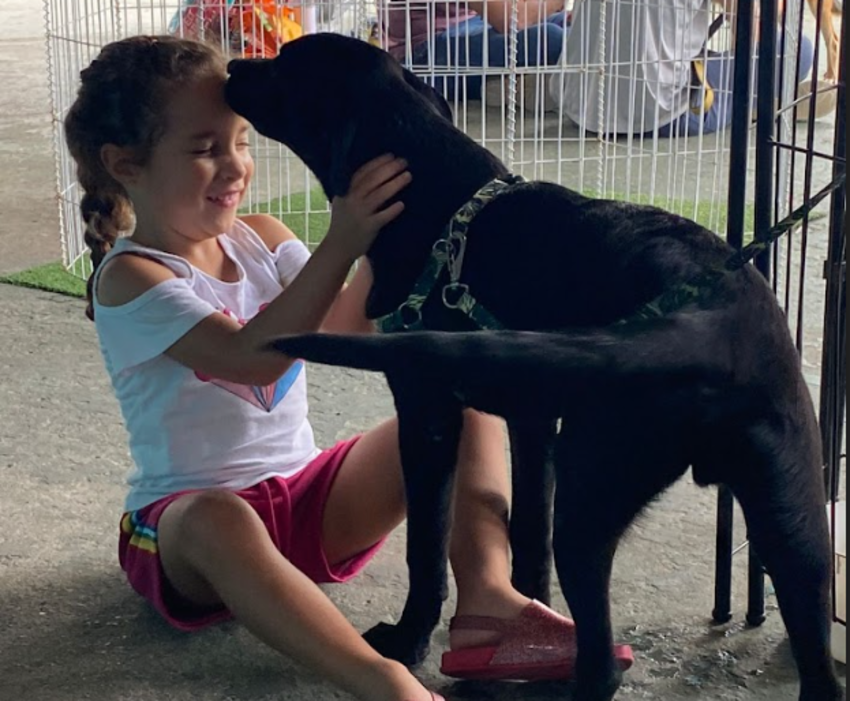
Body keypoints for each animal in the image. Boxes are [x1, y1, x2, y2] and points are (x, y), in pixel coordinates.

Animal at [225, 32, 840, 700]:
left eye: (285, 65)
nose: (231, 65)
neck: (437, 195)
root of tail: (709, 317)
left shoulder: (427, 410)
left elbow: (426, 545)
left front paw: (409, 641)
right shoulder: (532, 421)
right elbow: (525, 535)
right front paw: (528, 622)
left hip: (593, 488)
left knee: (601, 665)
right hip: (794, 516)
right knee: (819, 661)